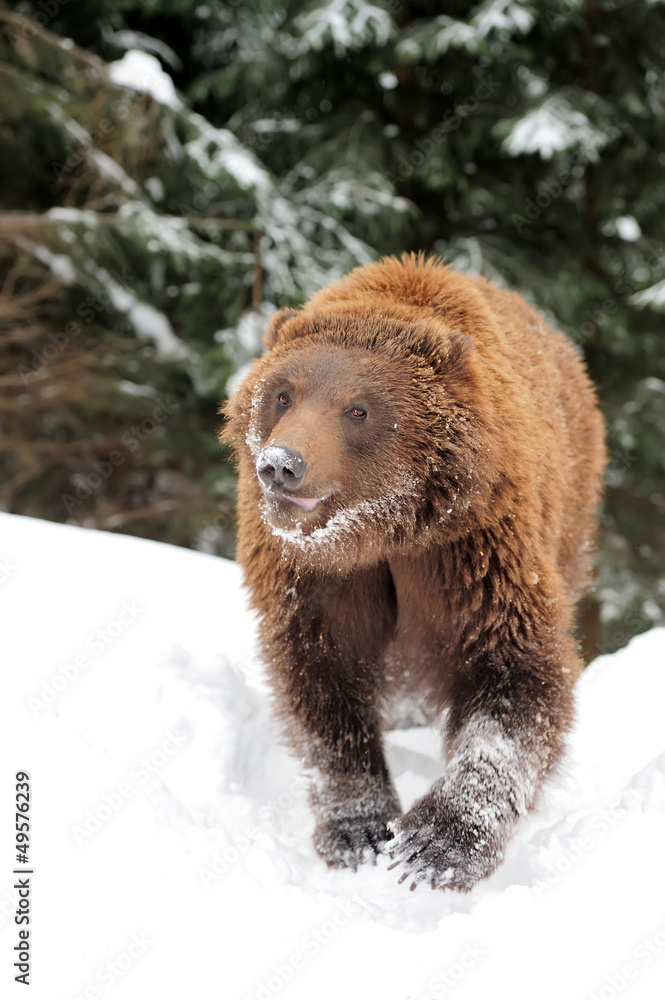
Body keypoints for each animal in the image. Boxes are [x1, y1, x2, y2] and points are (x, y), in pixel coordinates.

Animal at [222, 254, 606, 892]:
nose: (281, 464)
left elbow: (518, 678)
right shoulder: (314, 575)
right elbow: (322, 683)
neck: (382, 533)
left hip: (572, 509)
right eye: (283, 393)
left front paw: (437, 843)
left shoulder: (473, 553)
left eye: (358, 408)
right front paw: (357, 829)